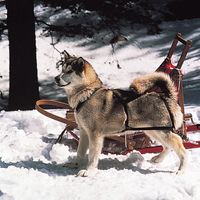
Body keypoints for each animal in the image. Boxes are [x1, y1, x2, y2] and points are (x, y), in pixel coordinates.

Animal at [54, 51, 186, 177]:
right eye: (62, 70)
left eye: (69, 71)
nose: (56, 78)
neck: (87, 94)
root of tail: (165, 96)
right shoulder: (84, 132)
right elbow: (80, 152)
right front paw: (75, 164)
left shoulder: (95, 135)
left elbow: (92, 156)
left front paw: (89, 171)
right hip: (152, 131)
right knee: (168, 146)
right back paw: (157, 159)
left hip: (161, 131)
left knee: (180, 145)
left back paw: (181, 170)